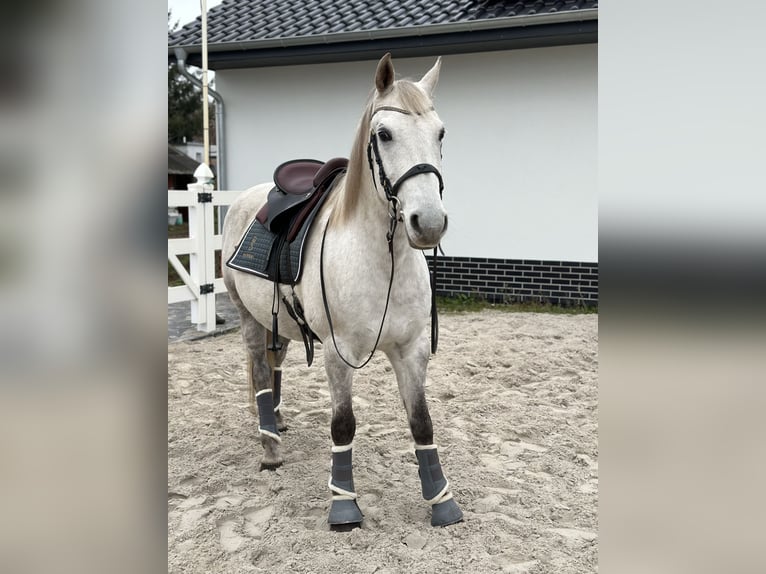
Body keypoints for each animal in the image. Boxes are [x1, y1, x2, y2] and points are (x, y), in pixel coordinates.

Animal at [219, 55, 464, 532]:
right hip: (248, 317)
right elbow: (344, 425)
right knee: (259, 371)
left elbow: (422, 422)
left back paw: (277, 422)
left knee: (275, 365)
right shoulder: (338, 353)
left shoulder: (411, 350)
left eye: (441, 133)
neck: (381, 262)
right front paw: (344, 506)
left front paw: (441, 502)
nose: (428, 223)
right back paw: (270, 447)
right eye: (384, 134)